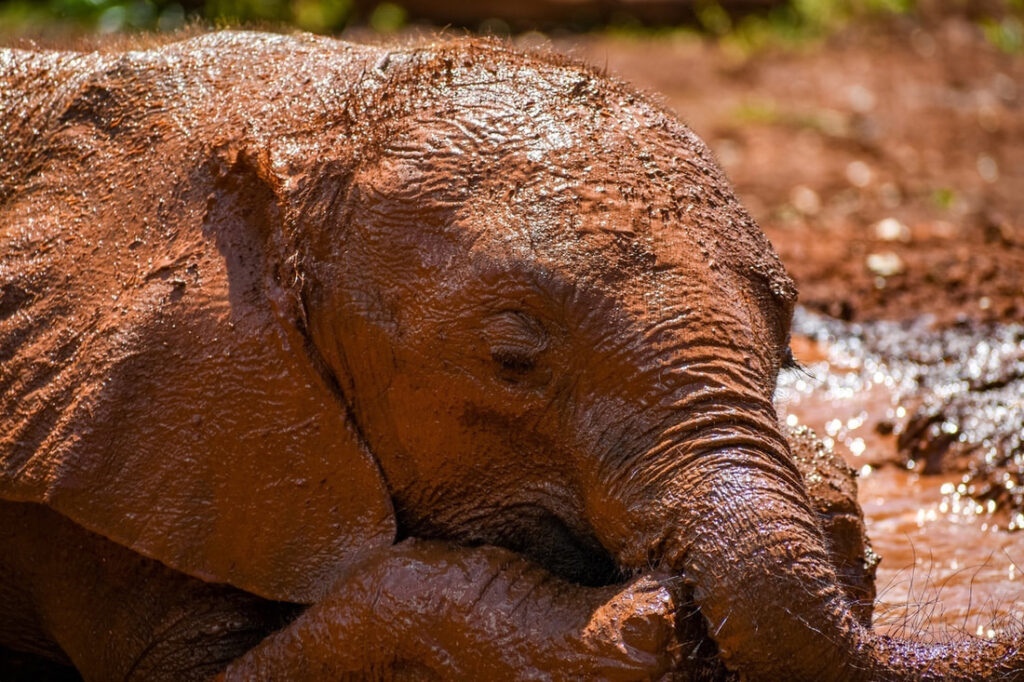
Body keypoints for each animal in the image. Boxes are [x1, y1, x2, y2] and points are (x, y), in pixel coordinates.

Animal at [0, 31, 1020, 680]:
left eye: (787, 359)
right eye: (511, 361)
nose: (679, 590)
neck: (296, 114)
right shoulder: (146, 443)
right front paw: (641, 627)